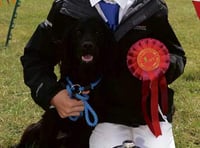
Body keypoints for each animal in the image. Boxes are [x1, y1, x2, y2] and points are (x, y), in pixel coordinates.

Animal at [14, 17, 115, 148]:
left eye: (98, 33)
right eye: (78, 32)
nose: (87, 45)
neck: (82, 80)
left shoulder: (86, 128)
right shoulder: (51, 118)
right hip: (33, 128)